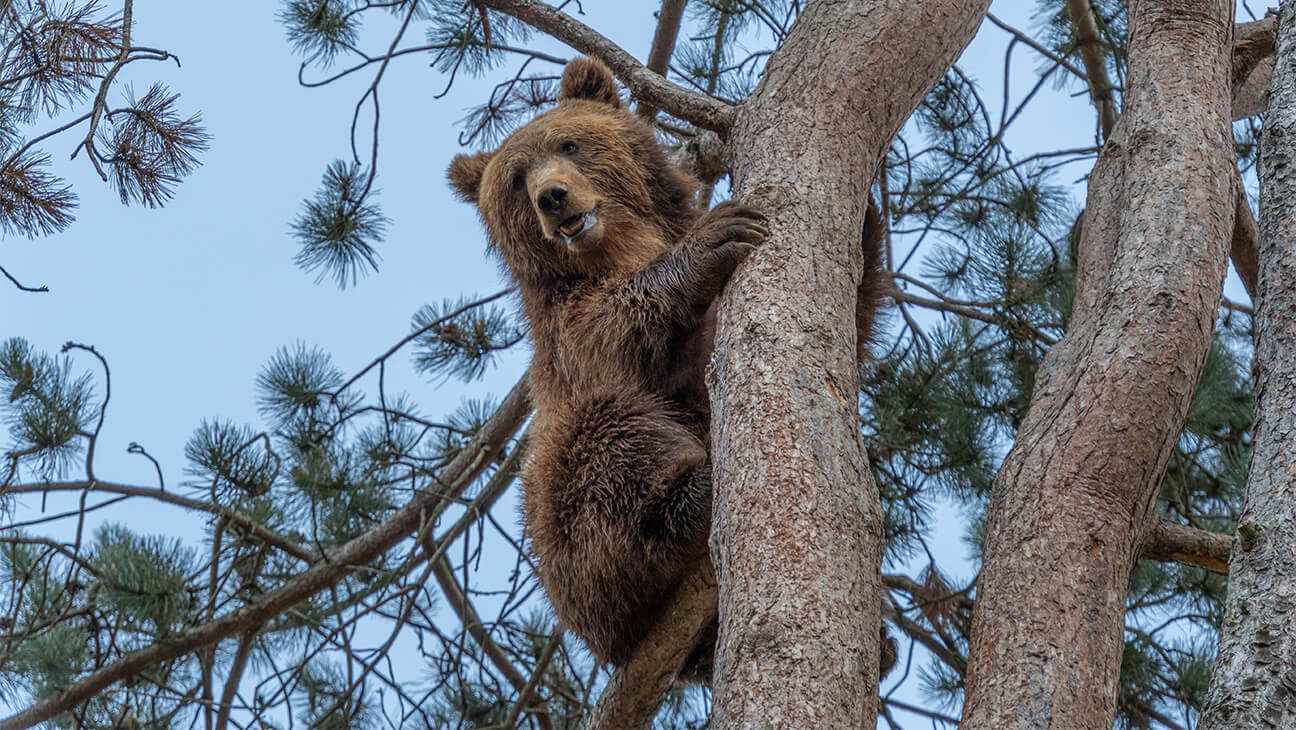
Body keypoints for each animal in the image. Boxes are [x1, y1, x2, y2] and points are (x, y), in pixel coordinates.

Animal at [448, 57, 891, 684]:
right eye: (515, 178)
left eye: (569, 143)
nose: (552, 196)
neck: (616, 244)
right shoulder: (565, 332)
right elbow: (617, 339)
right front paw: (715, 239)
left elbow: (847, 323)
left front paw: (867, 209)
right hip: (561, 547)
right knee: (603, 442)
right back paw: (688, 497)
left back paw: (881, 641)